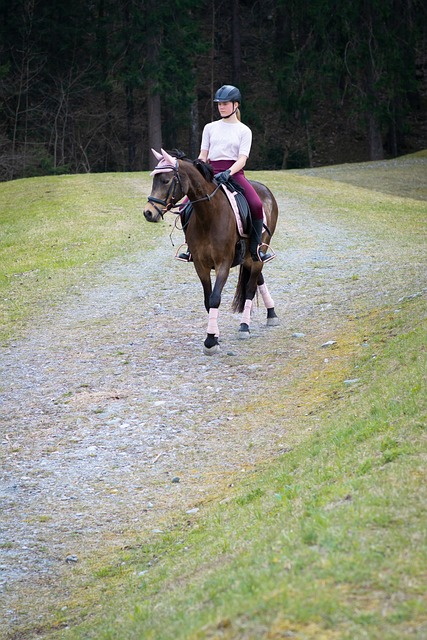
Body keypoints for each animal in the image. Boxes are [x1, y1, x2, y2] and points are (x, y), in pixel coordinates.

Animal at [144, 148, 280, 356]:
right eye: (154, 180)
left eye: (166, 180)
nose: (148, 213)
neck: (208, 215)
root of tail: (265, 190)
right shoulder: (201, 265)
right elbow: (208, 300)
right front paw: (215, 336)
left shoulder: (223, 263)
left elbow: (215, 298)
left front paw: (210, 342)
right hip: (249, 256)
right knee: (258, 279)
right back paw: (271, 313)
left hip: (259, 251)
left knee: (250, 287)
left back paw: (245, 326)